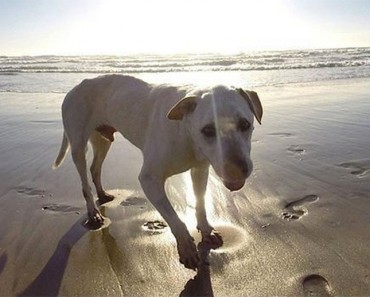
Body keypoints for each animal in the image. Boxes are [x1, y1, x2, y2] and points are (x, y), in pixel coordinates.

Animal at [54, 74, 264, 268]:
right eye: (208, 130)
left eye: (245, 124)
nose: (238, 170)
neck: (185, 132)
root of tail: (75, 88)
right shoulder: (149, 179)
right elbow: (174, 218)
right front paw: (186, 247)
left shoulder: (200, 169)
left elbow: (201, 203)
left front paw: (206, 230)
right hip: (78, 144)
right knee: (84, 179)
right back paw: (93, 212)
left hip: (102, 140)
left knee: (95, 168)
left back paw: (103, 194)